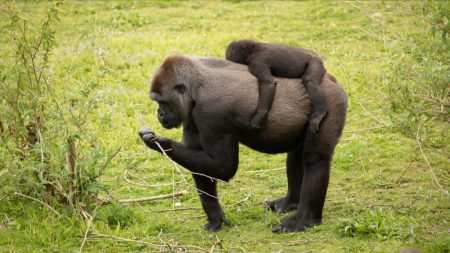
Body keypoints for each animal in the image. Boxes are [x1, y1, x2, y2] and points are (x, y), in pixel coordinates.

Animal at [139, 55, 346, 233]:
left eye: (163, 102)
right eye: (156, 102)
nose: (160, 114)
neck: (196, 88)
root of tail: (332, 80)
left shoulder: (210, 113)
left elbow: (224, 167)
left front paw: (162, 144)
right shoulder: (191, 115)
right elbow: (202, 169)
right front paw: (215, 218)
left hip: (329, 102)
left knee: (315, 159)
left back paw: (304, 219)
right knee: (296, 155)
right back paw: (290, 202)